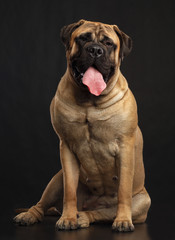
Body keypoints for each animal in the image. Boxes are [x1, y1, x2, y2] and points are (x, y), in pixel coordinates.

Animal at [13, 19, 150, 232]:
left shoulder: (125, 148)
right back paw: (32, 215)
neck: (89, 102)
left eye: (108, 43)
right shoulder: (67, 148)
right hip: (56, 179)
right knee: (42, 204)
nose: (95, 50)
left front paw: (123, 220)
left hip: (143, 201)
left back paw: (85, 218)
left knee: (101, 213)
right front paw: (67, 218)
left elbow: (123, 191)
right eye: (83, 38)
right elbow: (70, 190)